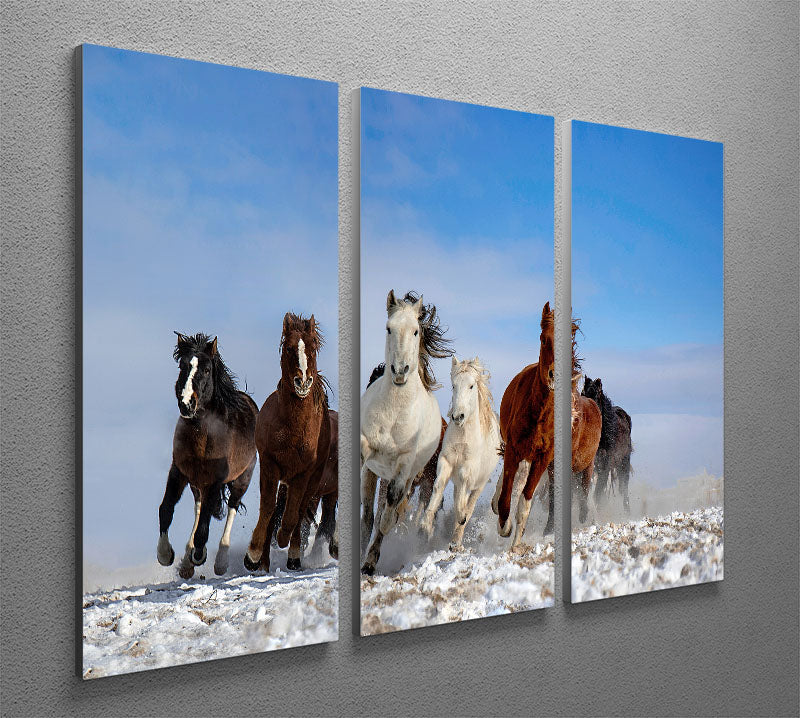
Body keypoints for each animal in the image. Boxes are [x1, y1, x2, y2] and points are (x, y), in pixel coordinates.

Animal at [157, 333, 258, 579]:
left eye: (206, 369)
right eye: (182, 366)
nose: (186, 404)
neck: (202, 435)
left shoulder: (215, 480)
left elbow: (204, 527)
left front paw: (199, 556)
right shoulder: (178, 472)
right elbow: (166, 509)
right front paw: (166, 555)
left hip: (242, 479)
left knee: (231, 507)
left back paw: (220, 561)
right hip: (197, 484)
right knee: (199, 507)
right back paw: (186, 562)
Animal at [244, 313, 333, 572]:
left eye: (312, 348)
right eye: (289, 348)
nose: (303, 381)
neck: (292, 429)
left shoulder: (303, 474)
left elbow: (293, 515)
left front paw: (283, 540)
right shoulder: (270, 464)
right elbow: (267, 509)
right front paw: (253, 555)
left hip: (312, 481)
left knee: (300, 511)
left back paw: (293, 556)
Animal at [360, 290, 453, 575]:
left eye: (415, 331)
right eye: (389, 328)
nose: (400, 371)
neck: (395, 411)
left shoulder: (404, 468)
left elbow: (388, 517)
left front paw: (371, 561)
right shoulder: (367, 452)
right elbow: (371, 515)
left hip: (411, 477)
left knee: (388, 513)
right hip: (376, 472)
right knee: (369, 515)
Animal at [420, 357, 502, 550]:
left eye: (471, 386)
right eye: (453, 385)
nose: (458, 417)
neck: (462, 437)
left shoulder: (468, 468)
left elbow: (463, 499)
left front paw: (460, 517)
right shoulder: (446, 461)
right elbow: (438, 485)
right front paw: (426, 525)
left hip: (479, 485)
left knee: (469, 505)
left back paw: (456, 539)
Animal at [582, 376, 632, 513]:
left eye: (595, 395)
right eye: (582, 394)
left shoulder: (605, 465)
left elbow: (598, 493)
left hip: (624, 462)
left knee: (624, 486)